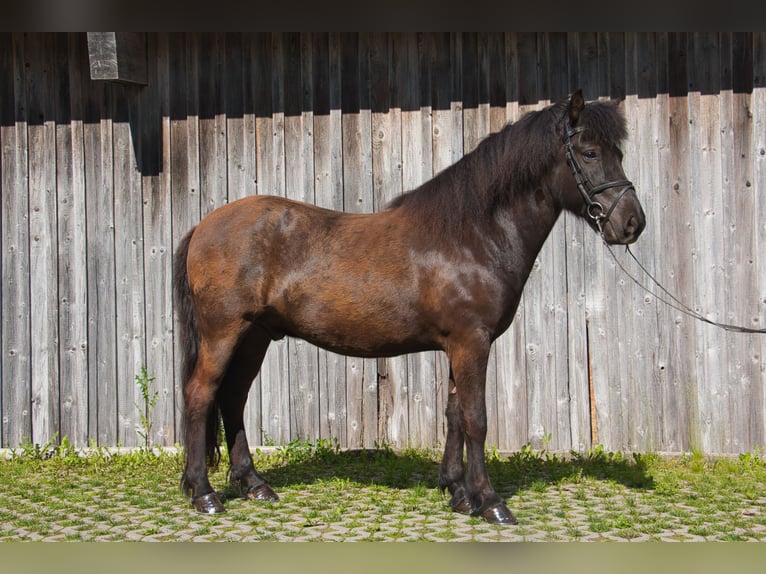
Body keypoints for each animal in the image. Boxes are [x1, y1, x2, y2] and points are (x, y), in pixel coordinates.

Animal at [173, 90, 645, 524]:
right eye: (589, 152)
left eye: (619, 153)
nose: (632, 223)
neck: (472, 235)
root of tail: (204, 226)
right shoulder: (472, 342)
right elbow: (476, 418)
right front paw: (490, 502)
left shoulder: (459, 345)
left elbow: (454, 415)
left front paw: (458, 492)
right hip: (224, 332)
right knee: (200, 395)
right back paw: (204, 493)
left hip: (255, 336)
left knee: (233, 398)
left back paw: (254, 484)